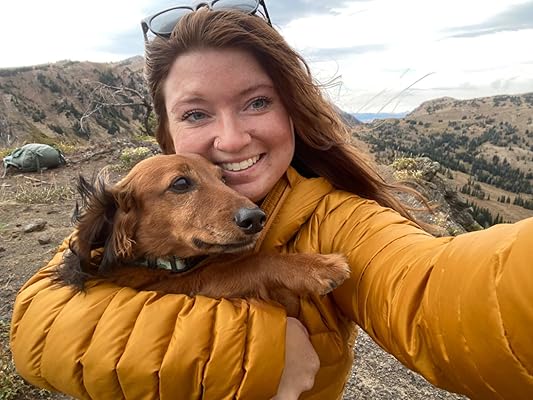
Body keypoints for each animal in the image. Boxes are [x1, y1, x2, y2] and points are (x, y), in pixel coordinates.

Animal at [54, 153, 350, 316]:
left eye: (224, 179)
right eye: (180, 183)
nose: (256, 218)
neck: (161, 265)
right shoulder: (185, 285)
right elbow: (250, 261)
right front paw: (317, 266)